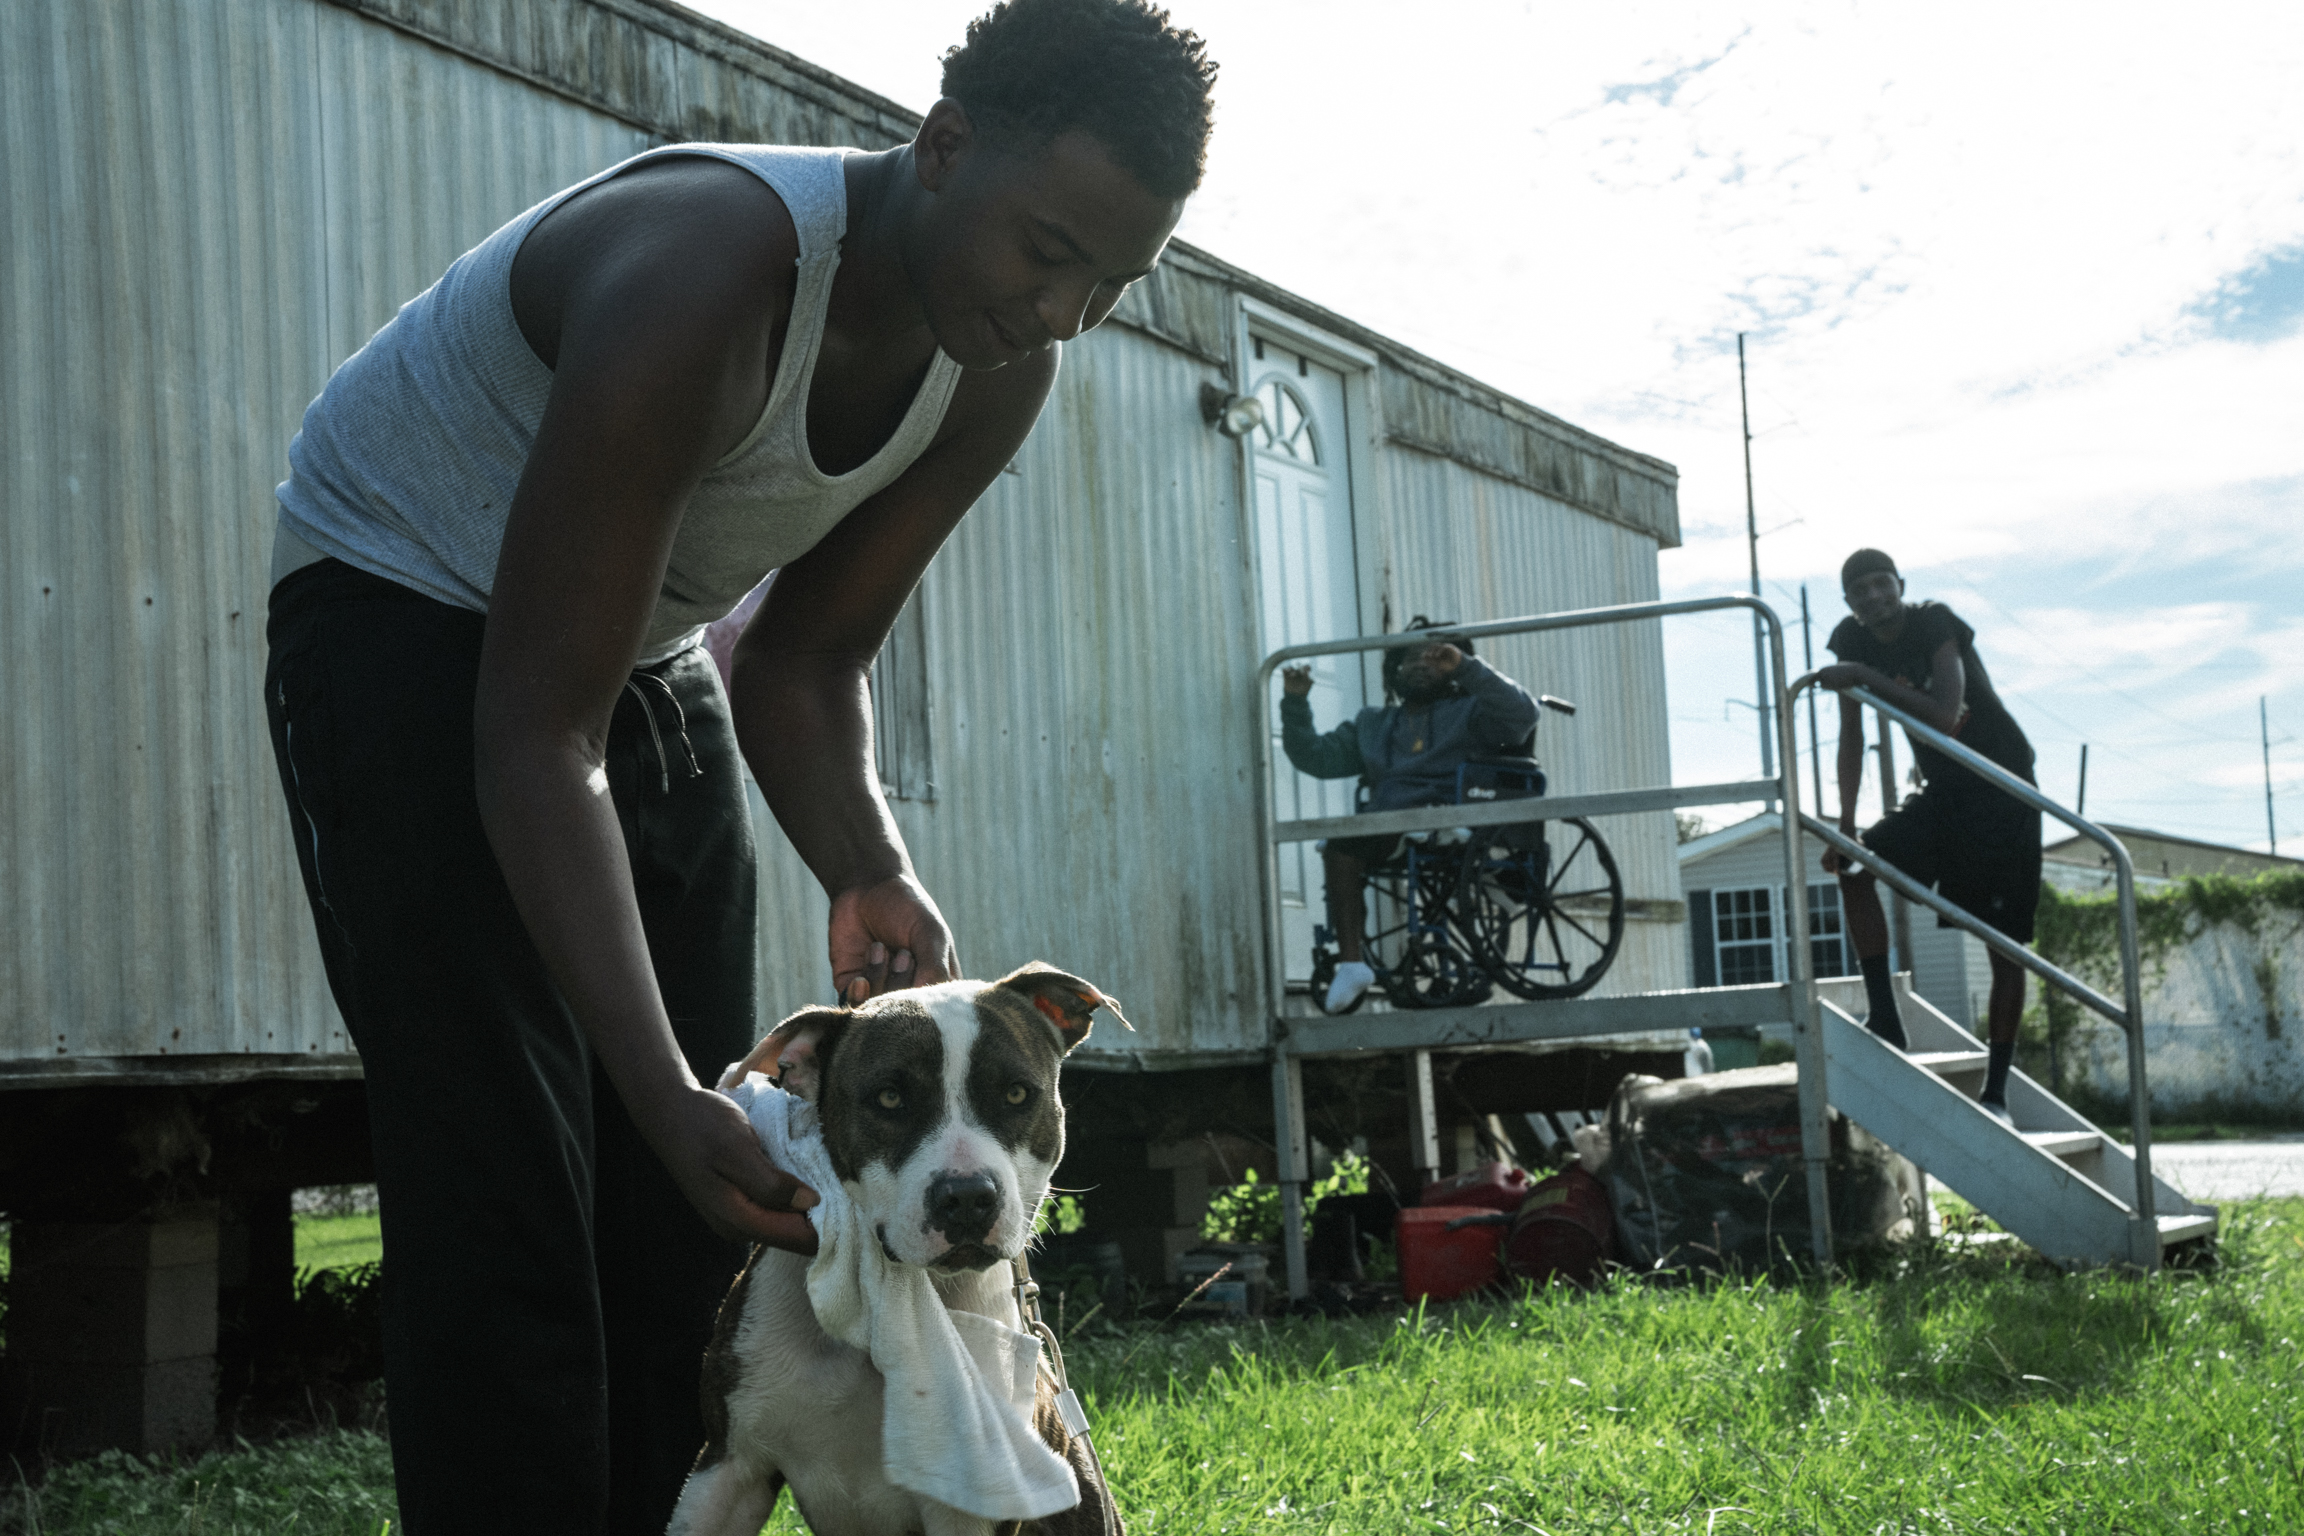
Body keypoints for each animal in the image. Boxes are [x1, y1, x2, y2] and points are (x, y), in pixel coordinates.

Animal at [667, 963, 1127, 1536]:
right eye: (889, 1098)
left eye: (1018, 1095)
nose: (968, 1197)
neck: (877, 1307)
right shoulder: (729, 1465)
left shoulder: (972, 1504)